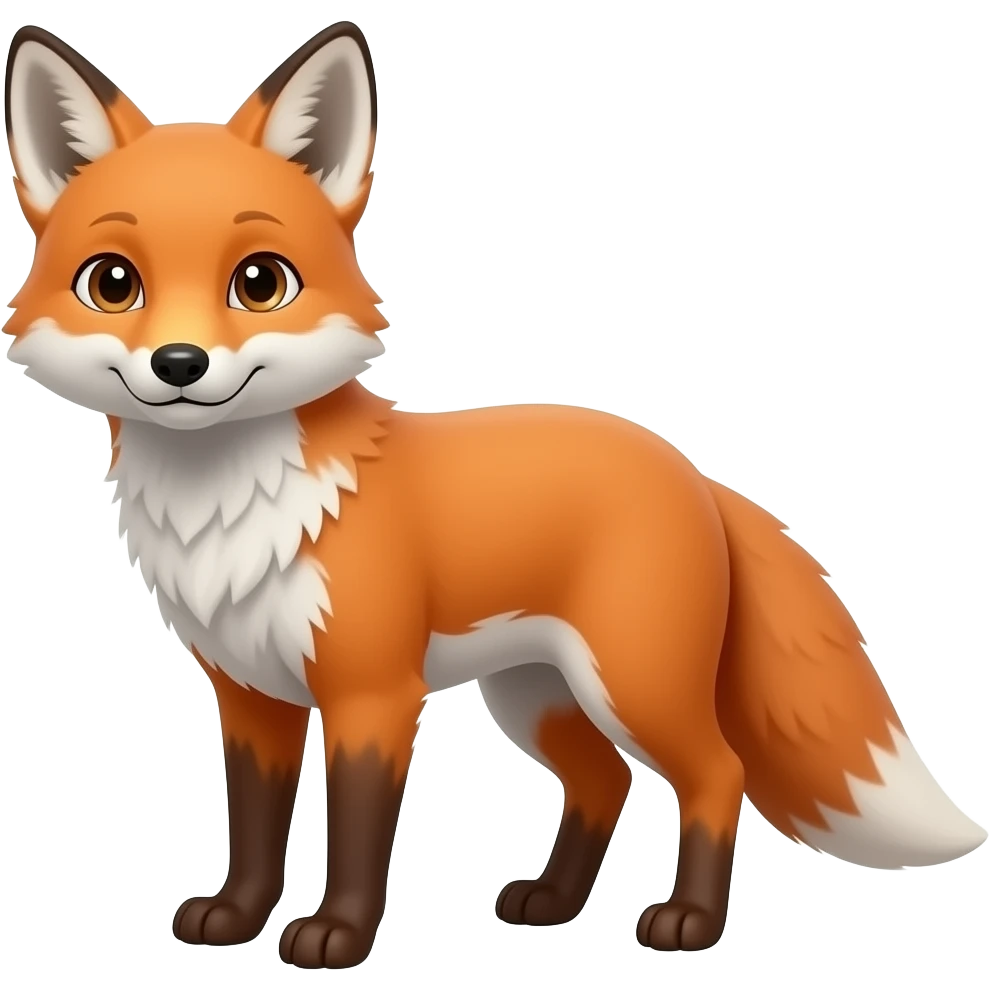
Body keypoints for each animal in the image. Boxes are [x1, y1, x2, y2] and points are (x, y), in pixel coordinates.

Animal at [2, 21, 986, 970]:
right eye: (113, 283)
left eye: (260, 281)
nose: (180, 365)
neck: (234, 506)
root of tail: (691, 471)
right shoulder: (252, 694)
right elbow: (252, 827)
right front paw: (236, 918)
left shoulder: (373, 693)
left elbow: (356, 833)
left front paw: (338, 937)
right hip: (535, 694)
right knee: (604, 780)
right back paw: (551, 903)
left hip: (633, 683)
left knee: (716, 774)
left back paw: (690, 923)